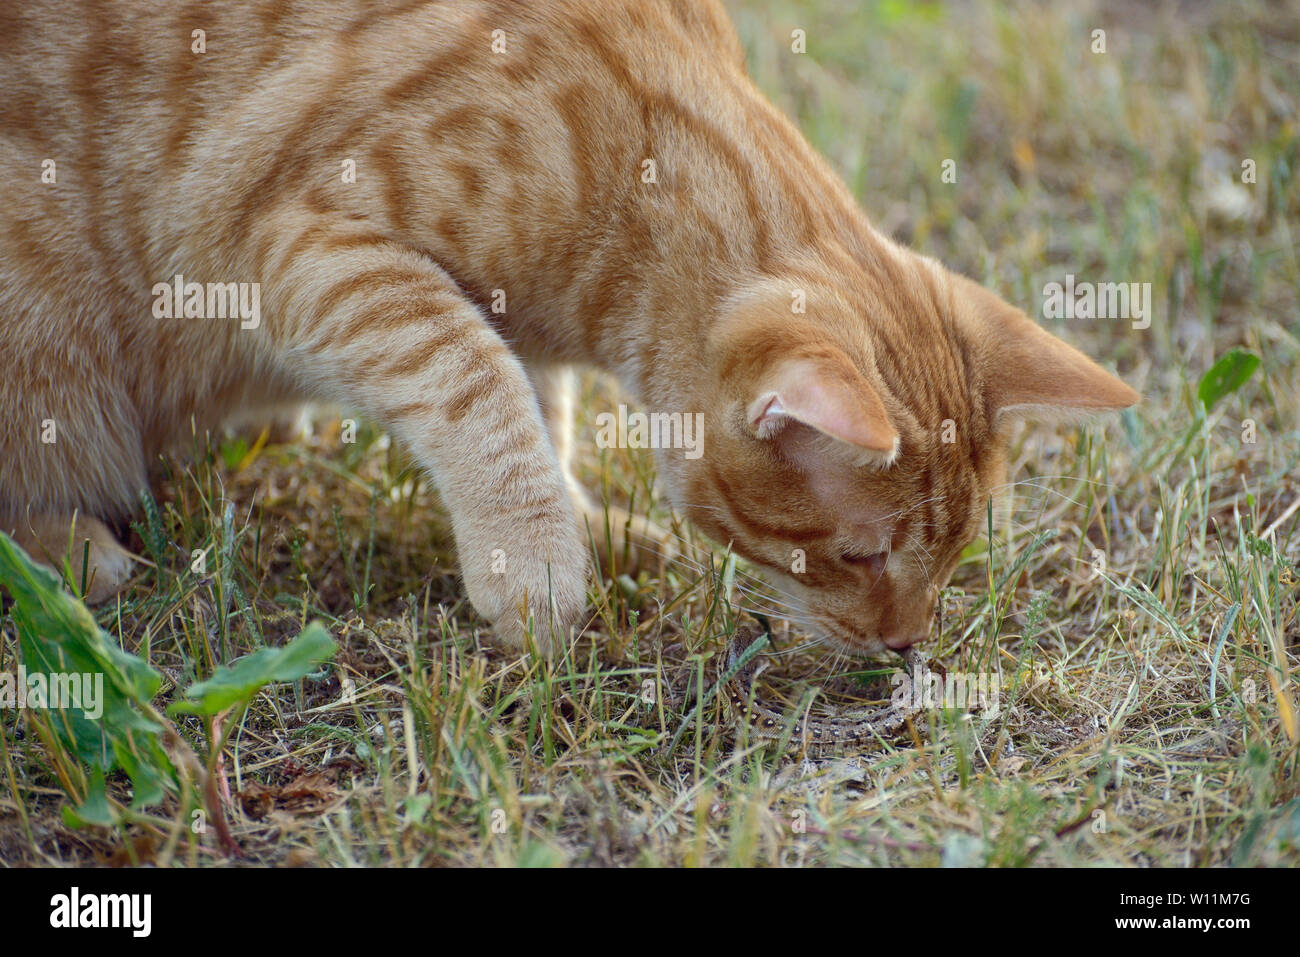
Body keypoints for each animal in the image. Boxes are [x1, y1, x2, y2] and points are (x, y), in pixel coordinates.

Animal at [0, 0, 1138, 655]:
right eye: (860, 558)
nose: (907, 646)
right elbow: (473, 380)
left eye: (954, 557)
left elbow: (535, 407)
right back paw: (75, 552)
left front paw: (588, 529)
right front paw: (538, 565)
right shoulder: (296, 248)